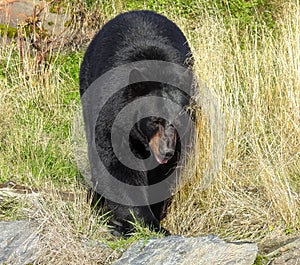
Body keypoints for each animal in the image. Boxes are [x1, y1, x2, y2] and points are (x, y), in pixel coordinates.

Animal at [78, 9, 193, 234]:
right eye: (155, 121)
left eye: (178, 119)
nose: (166, 151)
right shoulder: (113, 118)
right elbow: (117, 165)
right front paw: (140, 221)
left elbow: (163, 175)